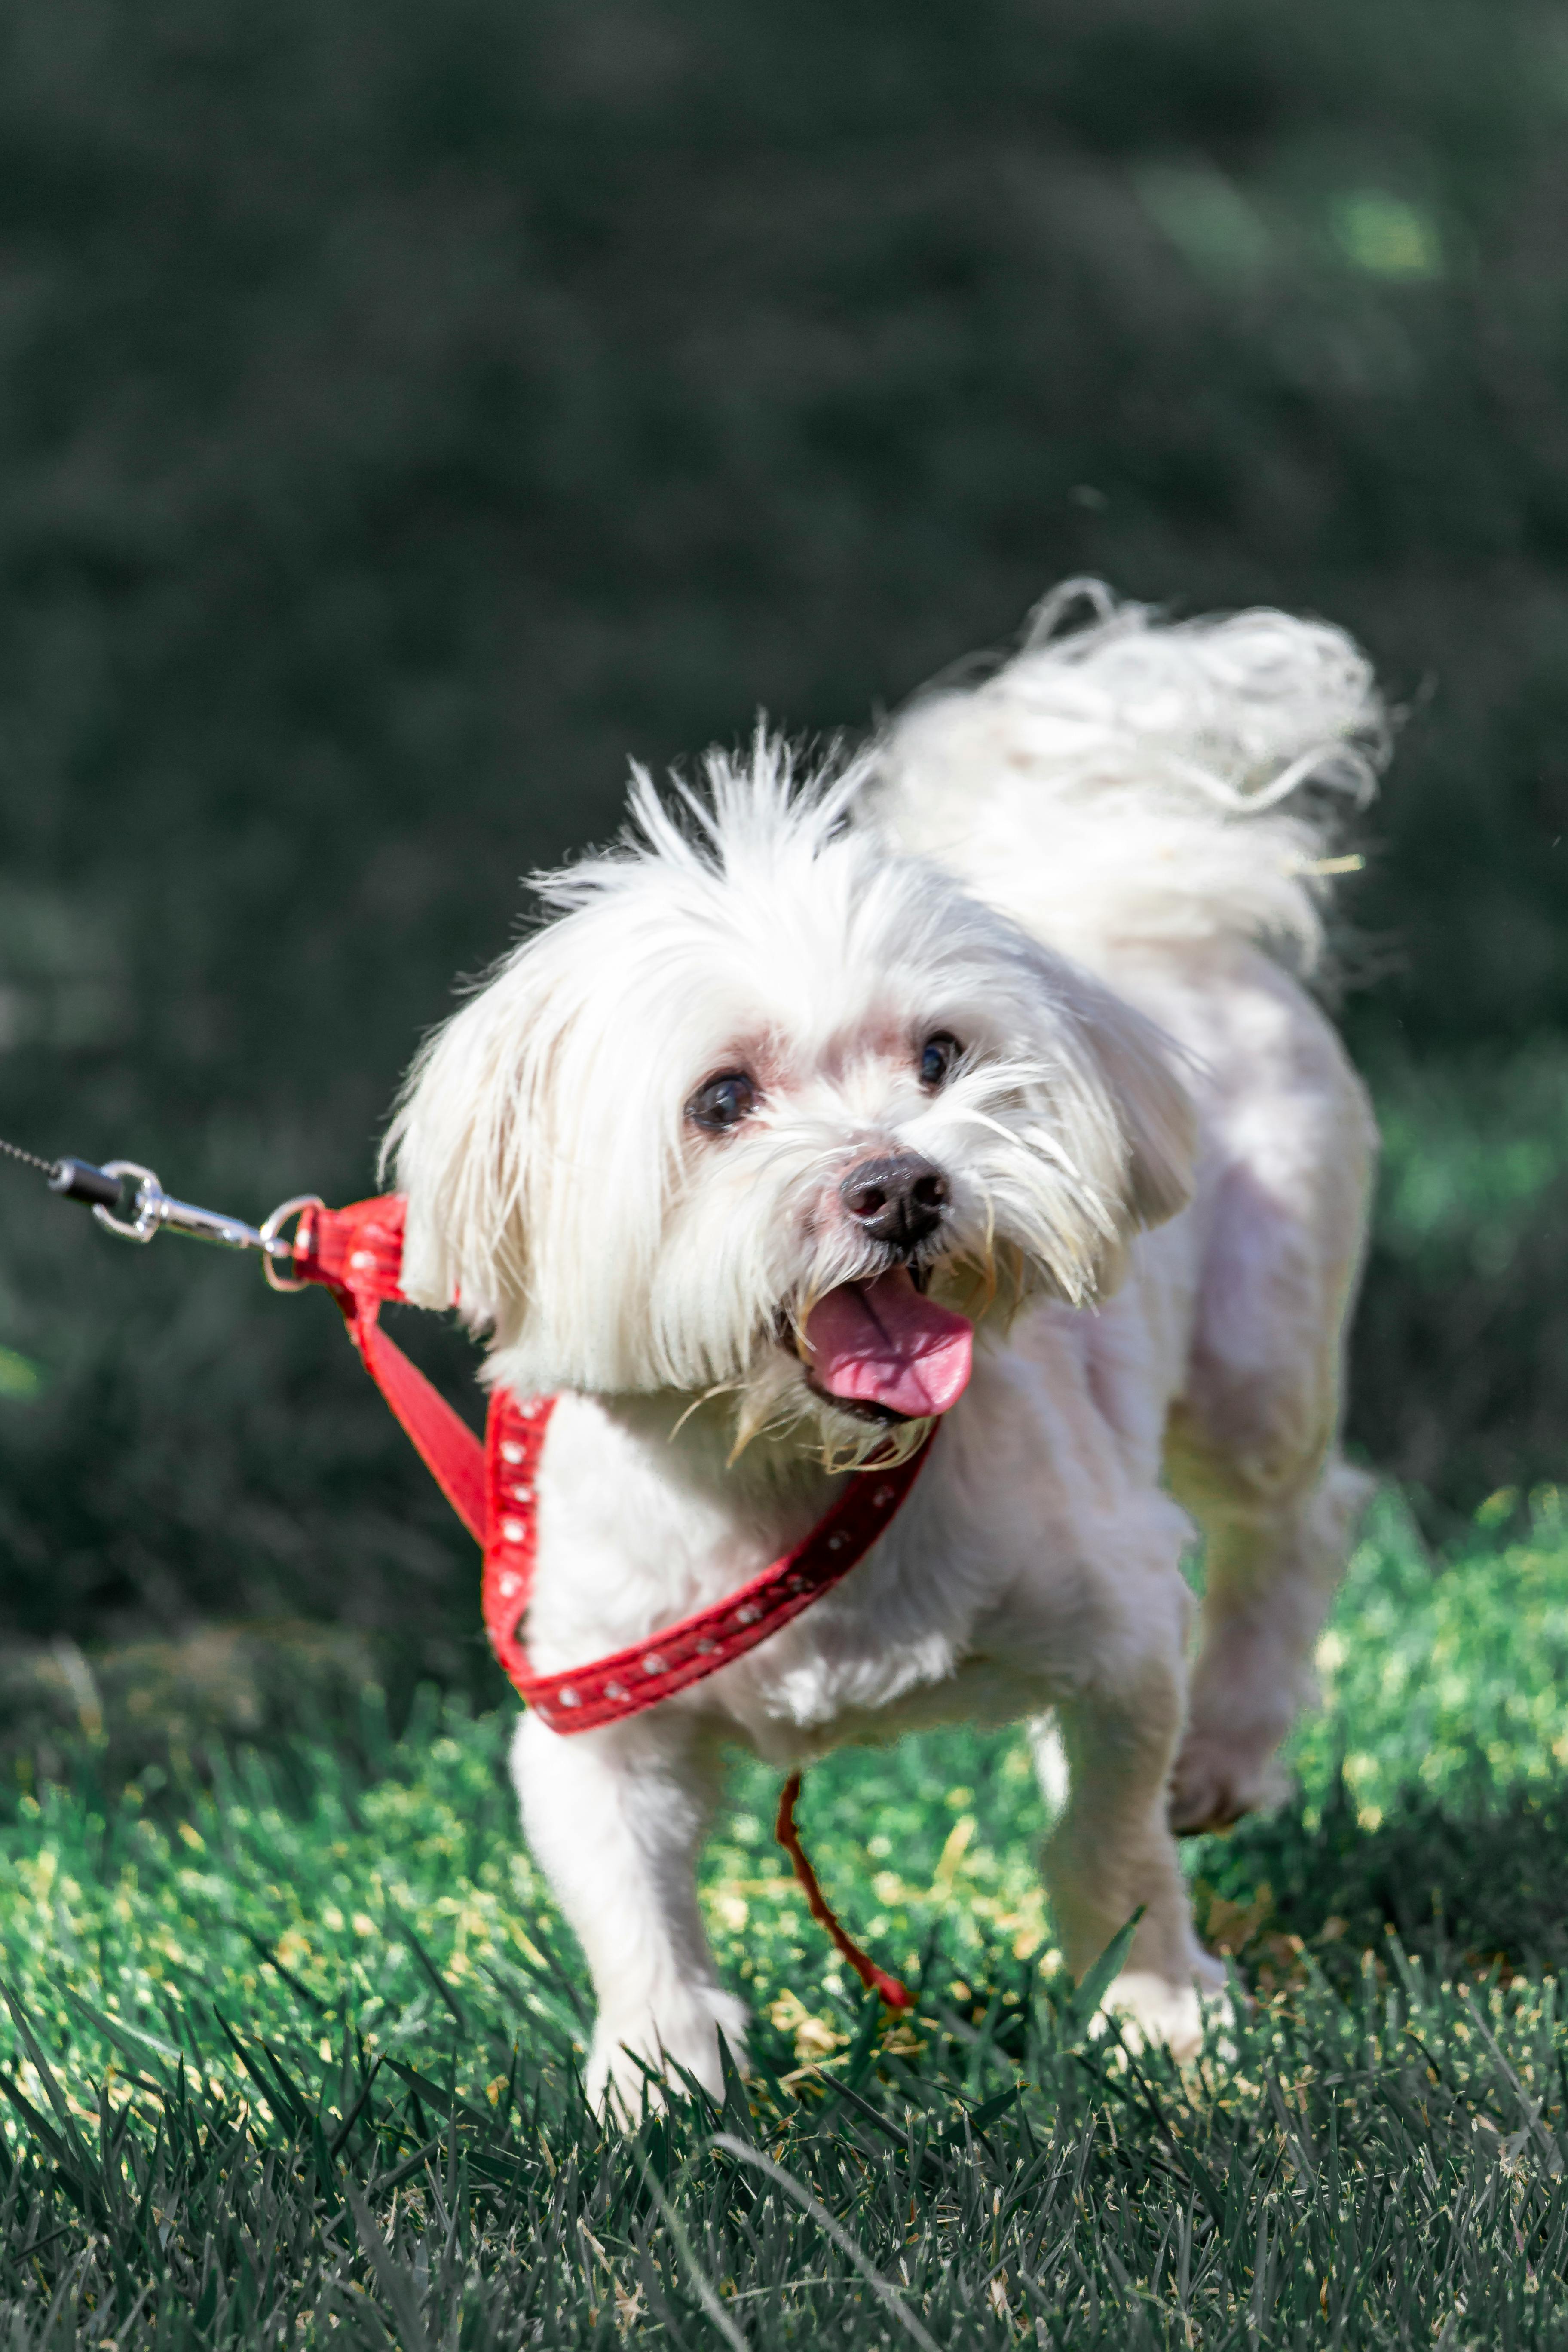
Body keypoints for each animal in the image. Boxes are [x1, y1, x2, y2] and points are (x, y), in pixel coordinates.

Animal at [390, 579, 1382, 2107]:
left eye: (941, 1059)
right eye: (720, 1100)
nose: (902, 1184)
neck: (802, 1472)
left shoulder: (1118, 1633)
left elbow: (1111, 1842)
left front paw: (1155, 2012)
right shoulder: (588, 1701)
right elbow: (628, 1899)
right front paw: (657, 2069)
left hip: (1257, 1355)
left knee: (1293, 1522)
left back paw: (1226, 1742)